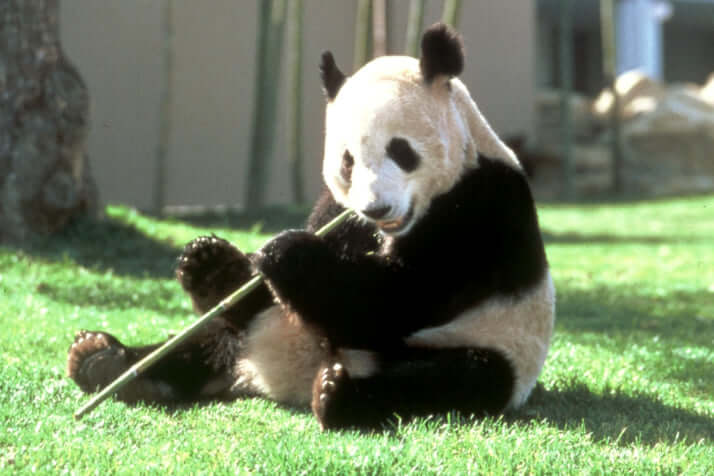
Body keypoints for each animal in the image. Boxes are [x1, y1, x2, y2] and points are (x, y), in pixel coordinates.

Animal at [67, 23, 552, 432]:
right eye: (348, 160)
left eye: (401, 151)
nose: (377, 207)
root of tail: (285, 378)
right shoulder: (336, 210)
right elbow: (289, 278)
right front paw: (211, 262)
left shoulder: (480, 207)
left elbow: (399, 298)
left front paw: (289, 255)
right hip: (263, 331)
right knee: (213, 337)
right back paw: (105, 360)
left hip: (487, 346)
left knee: (456, 377)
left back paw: (340, 396)